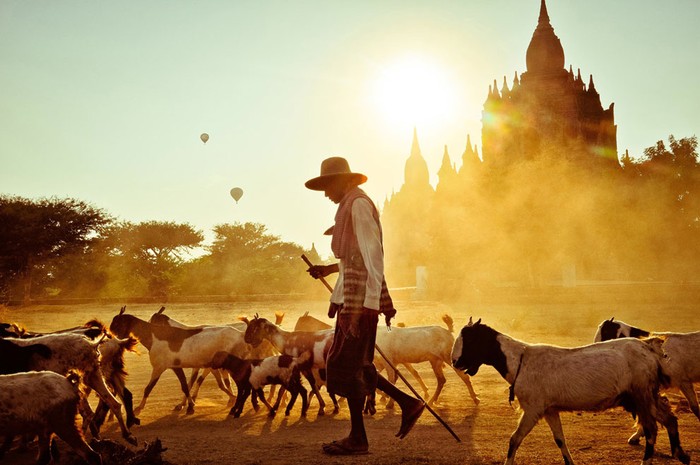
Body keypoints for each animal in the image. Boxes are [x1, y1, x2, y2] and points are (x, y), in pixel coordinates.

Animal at [452, 320, 692, 464]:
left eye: (470, 339)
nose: (455, 362)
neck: (520, 360)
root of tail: (649, 347)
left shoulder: (533, 409)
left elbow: (514, 439)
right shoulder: (549, 410)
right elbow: (560, 439)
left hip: (641, 395)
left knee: (651, 429)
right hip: (642, 397)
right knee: (669, 419)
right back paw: (681, 454)